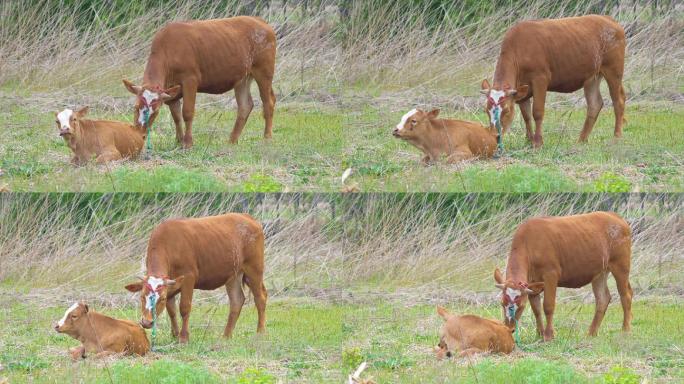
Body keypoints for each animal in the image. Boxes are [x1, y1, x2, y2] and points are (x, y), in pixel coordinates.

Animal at [123, 16, 276, 148]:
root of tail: (259, 20)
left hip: (264, 71)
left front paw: (188, 143)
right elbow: (176, 116)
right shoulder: (171, 91)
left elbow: (187, 112)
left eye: (155, 112)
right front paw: (178, 141)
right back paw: (232, 141)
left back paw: (267, 138)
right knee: (245, 105)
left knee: (268, 102)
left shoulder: (190, 79)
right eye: (135, 107)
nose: (140, 134)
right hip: (242, 78)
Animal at [125, 212, 268, 344]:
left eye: (162, 298)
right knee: (237, 301)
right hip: (233, 275)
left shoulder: (189, 277)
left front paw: (183, 338)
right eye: (141, 296)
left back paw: (260, 333)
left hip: (254, 268)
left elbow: (184, 307)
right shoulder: (171, 284)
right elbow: (171, 310)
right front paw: (175, 335)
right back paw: (226, 336)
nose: (147, 322)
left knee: (260, 298)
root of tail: (246, 216)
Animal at [480, 15, 624, 147]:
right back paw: (581, 140)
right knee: (595, 104)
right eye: (486, 110)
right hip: (592, 77)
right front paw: (528, 140)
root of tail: (608, 18)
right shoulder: (521, 88)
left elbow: (537, 112)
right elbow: (526, 115)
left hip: (614, 70)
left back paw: (616, 138)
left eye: (507, 110)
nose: (495, 136)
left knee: (618, 101)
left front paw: (538, 143)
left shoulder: (540, 79)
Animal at [492, 212, 632, 340]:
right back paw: (591, 333)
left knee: (626, 296)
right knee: (603, 298)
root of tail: (614, 215)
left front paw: (549, 336)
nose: (509, 328)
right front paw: (539, 334)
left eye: (521, 306)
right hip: (600, 272)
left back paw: (625, 331)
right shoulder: (531, 283)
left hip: (621, 265)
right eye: (501, 303)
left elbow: (548, 305)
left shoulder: (551, 274)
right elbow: (536, 309)